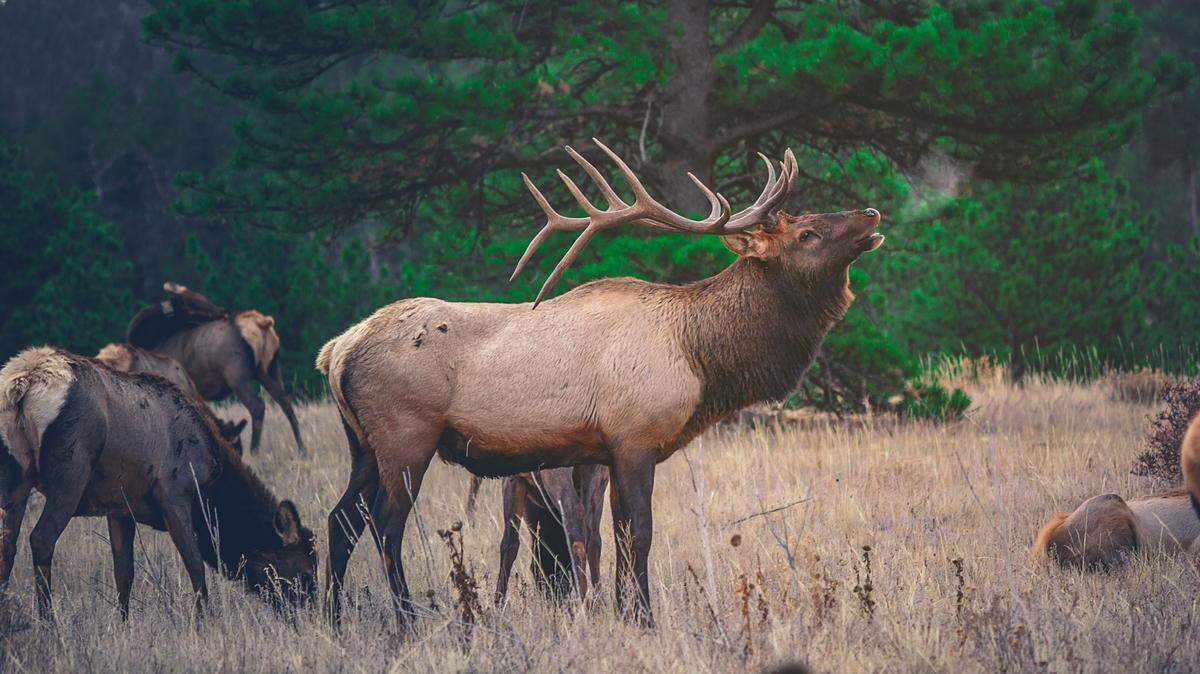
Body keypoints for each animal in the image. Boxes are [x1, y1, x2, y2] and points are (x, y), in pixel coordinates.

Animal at [0, 347, 317, 620]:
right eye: (305, 571)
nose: (312, 615)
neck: (211, 481)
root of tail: (23, 385)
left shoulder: (119, 507)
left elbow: (124, 572)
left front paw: (124, 623)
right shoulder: (174, 494)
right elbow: (195, 565)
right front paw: (203, 622)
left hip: (15, 479)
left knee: (7, 547)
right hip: (71, 472)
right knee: (41, 538)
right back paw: (48, 622)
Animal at [316, 138, 884, 627]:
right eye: (806, 233)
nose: (872, 215)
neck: (699, 357)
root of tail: (337, 351)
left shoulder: (604, 451)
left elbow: (614, 537)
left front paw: (624, 613)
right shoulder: (635, 439)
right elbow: (641, 534)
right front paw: (646, 619)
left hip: (363, 444)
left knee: (340, 520)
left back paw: (334, 618)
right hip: (406, 435)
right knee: (385, 527)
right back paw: (407, 620)